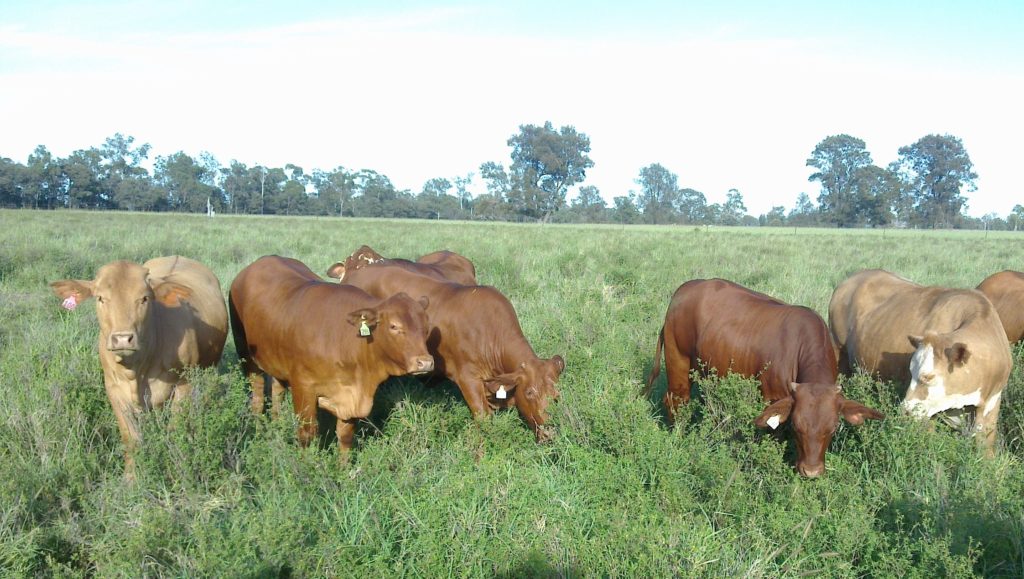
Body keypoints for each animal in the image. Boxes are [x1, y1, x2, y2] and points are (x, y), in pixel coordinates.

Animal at [230, 255, 434, 452]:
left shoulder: (349, 399)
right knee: (257, 394)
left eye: (426, 327)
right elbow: (307, 435)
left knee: (277, 391)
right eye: (394, 326)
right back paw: (258, 428)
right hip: (247, 356)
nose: (425, 362)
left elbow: (345, 437)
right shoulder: (304, 388)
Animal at [647, 276, 880, 475]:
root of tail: (687, 287)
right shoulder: (772, 399)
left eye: (832, 428)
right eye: (796, 427)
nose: (811, 472)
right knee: (677, 403)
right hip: (679, 363)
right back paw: (677, 437)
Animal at [827, 268, 1011, 452]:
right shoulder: (927, 412)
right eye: (911, 372)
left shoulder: (990, 405)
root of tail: (854, 277)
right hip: (839, 354)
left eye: (929, 377)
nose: (905, 411)